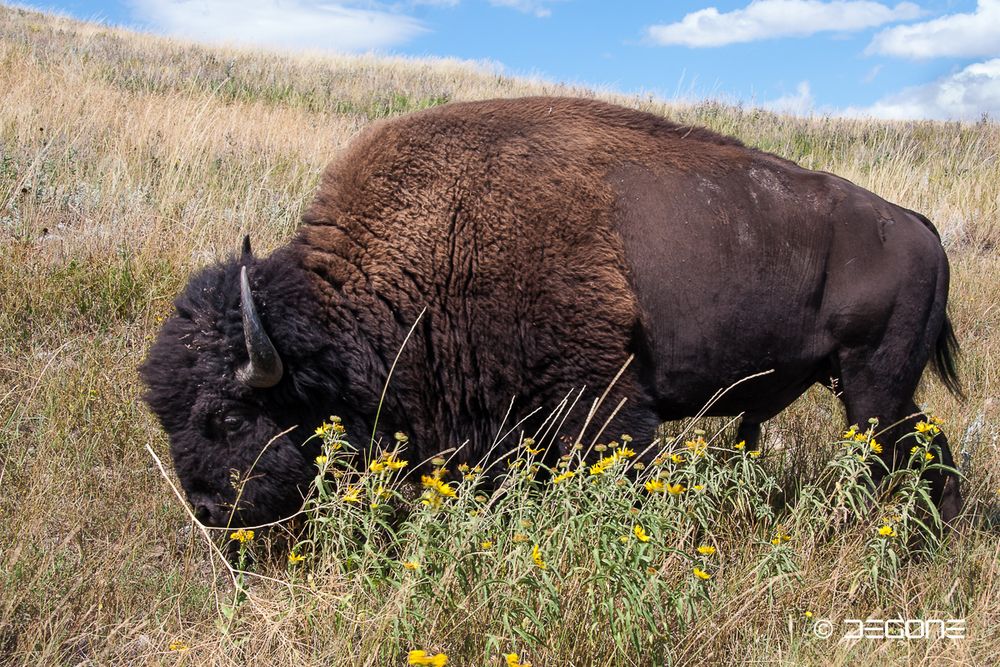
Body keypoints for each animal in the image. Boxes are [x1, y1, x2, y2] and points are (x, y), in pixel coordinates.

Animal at [141, 96, 960, 528]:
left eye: (228, 417)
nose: (208, 509)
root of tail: (917, 225)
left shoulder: (603, 399)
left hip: (871, 385)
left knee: (900, 454)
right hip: (868, 387)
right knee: (929, 447)